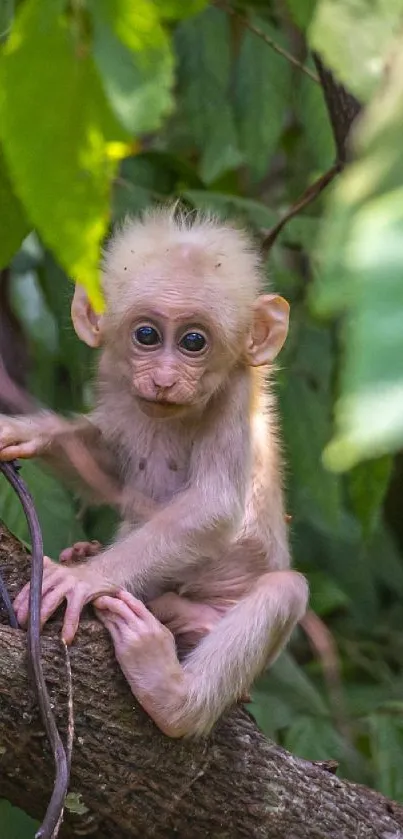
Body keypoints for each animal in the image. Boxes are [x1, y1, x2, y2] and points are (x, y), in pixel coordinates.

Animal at [0, 208, 310, 736]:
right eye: (146, 335)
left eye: (193, 342)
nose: (164, 380)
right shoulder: (118, 385)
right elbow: (108, 465)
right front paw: (27, 431)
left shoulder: (235, 396)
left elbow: (214, 506)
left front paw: (85, 578)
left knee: (285, 589)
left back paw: (171, 694)